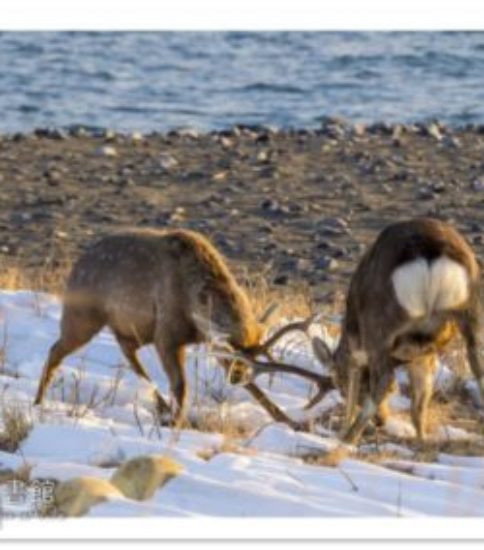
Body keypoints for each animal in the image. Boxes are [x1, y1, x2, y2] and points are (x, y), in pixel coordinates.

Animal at [33, 229, 328, 432]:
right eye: (237, 353)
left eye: (254, 355)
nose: (236, 378)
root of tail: (75, 266)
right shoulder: (168, 335)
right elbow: (181, 385)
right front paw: (177, 423)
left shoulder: (207, 341)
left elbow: (256, 390)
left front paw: (291, 422)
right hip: (82, 316)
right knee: (55, 351)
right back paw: (38, 403)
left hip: (129, 328)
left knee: (127, 353)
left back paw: (162, 406)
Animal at [312, 218, 482, 446]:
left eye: (340, 385)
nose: (381, 420)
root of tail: (431, 251)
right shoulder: (422, 354)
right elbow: (419, 403)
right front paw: (421, 441)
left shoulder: (361, 349)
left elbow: (356, 385)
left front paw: (342, 431)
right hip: (472, 313)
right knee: (479, 367)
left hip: (381, 326)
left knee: (384, 379)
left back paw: (349, 439)